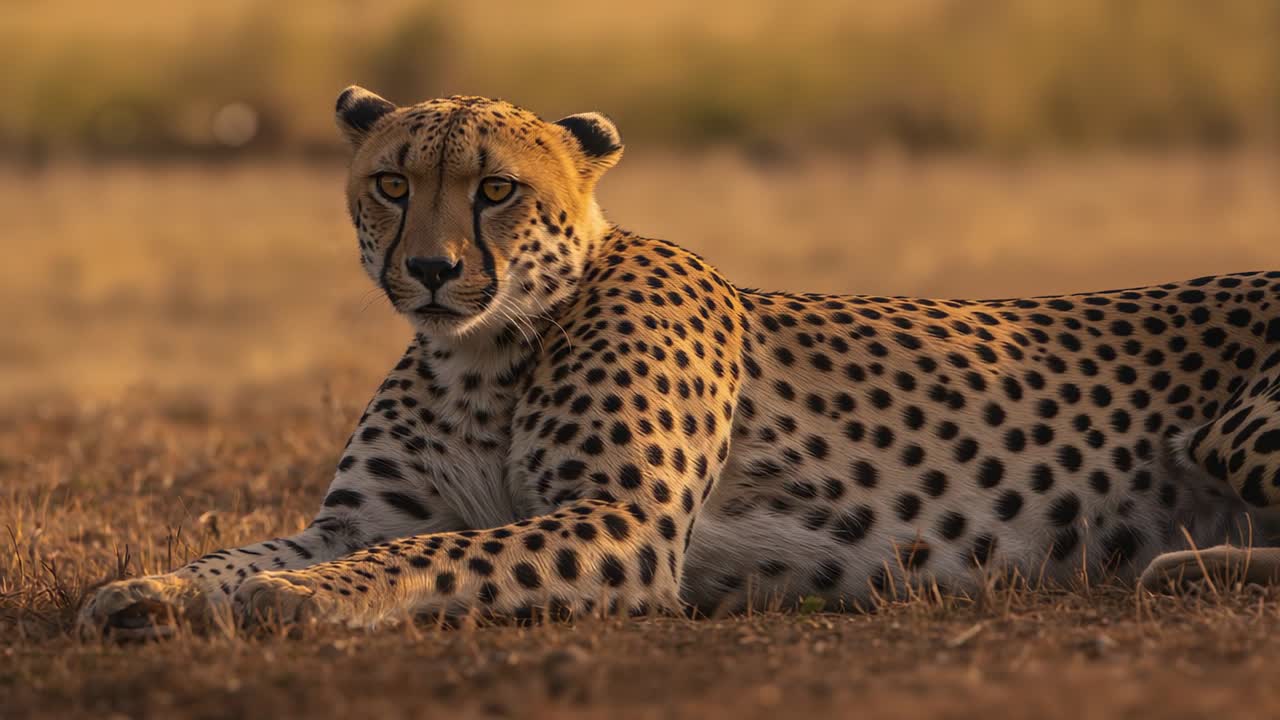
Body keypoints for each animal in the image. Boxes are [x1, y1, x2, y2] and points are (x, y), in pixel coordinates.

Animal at [78, 86, 1280, 639]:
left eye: (495, 189)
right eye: (391, 181)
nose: (426, 268)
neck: (485, 352)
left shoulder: (623, 524)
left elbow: (431, 553)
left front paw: (299, 596)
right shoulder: (359, 514)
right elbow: (241, 550)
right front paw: (144, 589)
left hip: (1237, 429)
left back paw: (1182, 567)